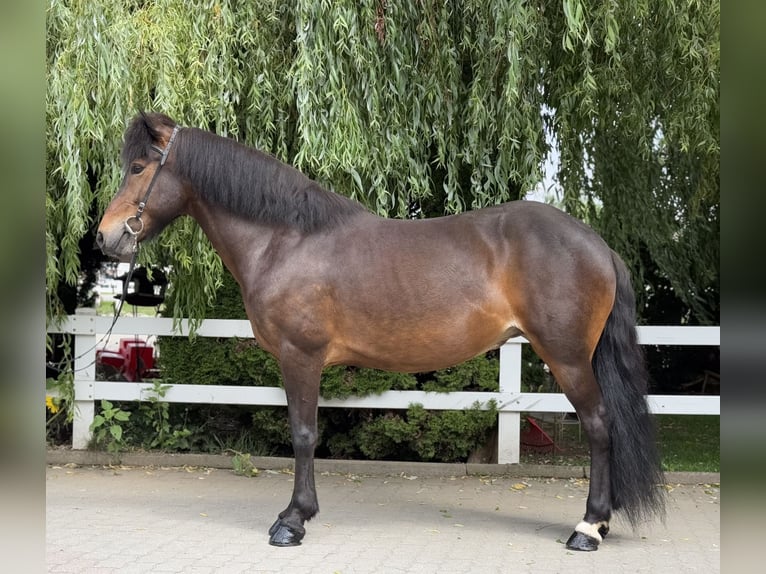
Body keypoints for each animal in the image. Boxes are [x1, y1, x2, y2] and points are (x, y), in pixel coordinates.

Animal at [96, 112, 666, 551]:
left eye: (139, 167)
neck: (287, 239)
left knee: (599, 427)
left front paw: (292, 521)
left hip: (567, 358)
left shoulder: (299, 357)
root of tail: (598, 244)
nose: (105, 238)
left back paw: (588, 528)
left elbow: (303, 435)